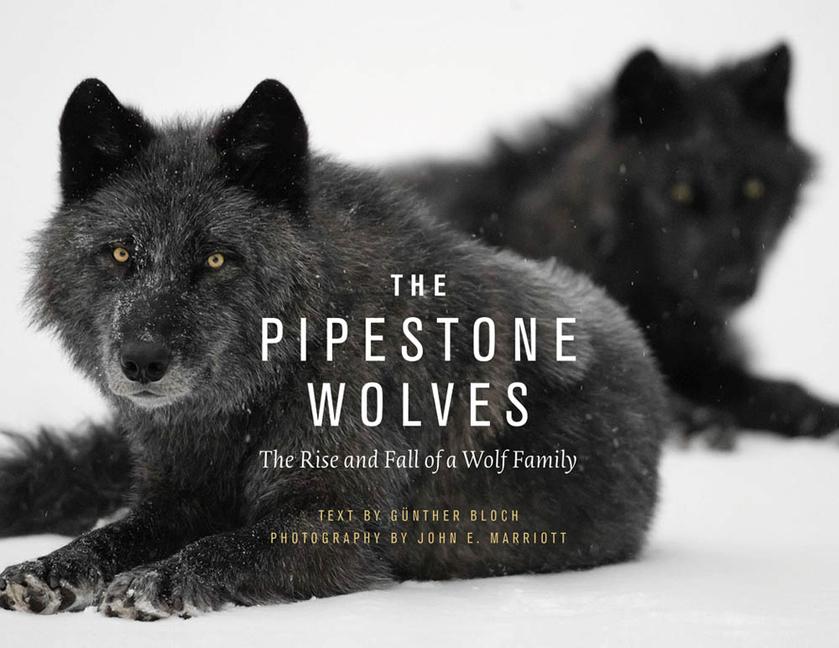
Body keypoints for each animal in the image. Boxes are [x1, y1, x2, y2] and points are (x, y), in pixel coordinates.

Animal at [0, 79, 666, 618]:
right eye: (120, 253)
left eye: (215, 259)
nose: (141, 361)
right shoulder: (175, 499)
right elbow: (112, 535)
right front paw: (50, 568)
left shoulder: (336, 526)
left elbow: (227, 547)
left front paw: (155, 583)